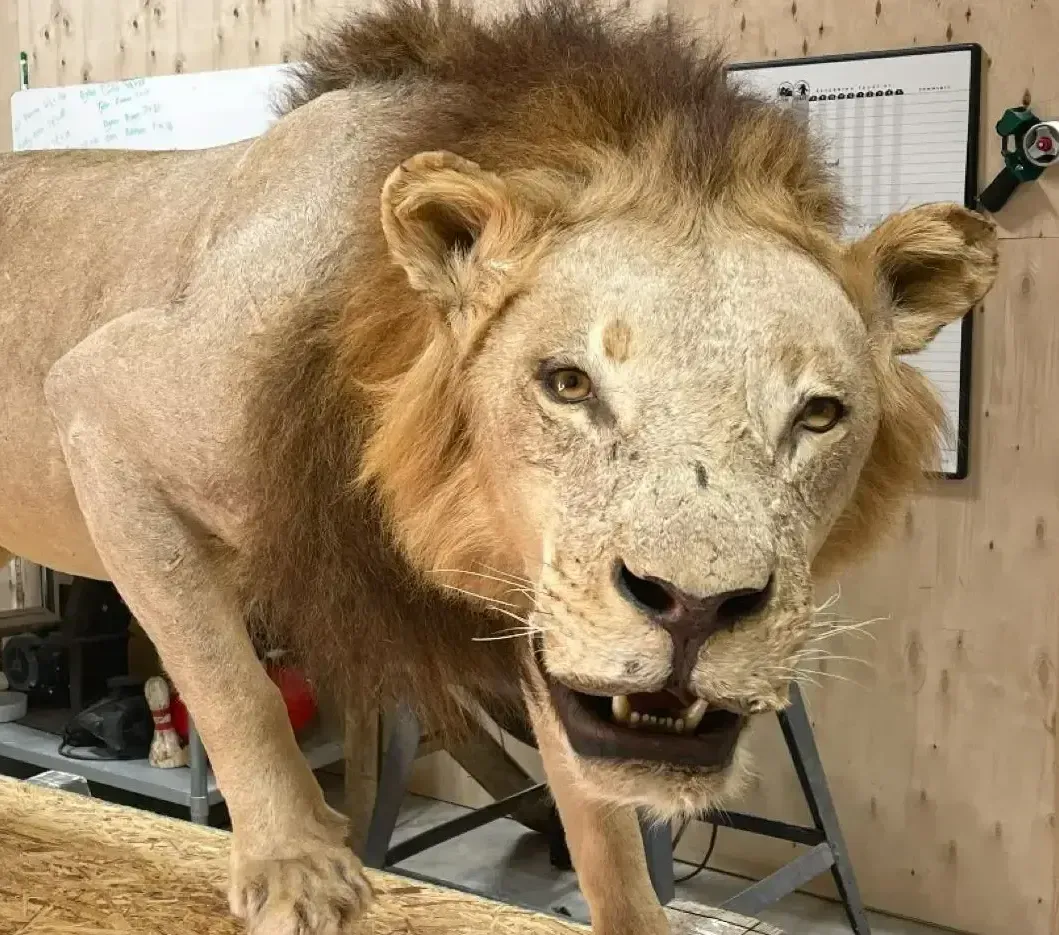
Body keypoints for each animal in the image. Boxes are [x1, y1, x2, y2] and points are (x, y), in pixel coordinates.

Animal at [0, 0, 997, 932]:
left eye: (818, 414)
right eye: (567, 383)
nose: (695, 606)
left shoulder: (548, 603)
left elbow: (597, 806)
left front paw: (635, 909)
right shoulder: (94, 400)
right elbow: (230, 679)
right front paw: (297, 866)